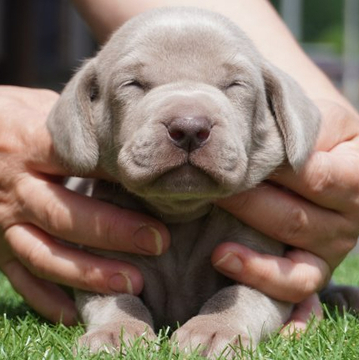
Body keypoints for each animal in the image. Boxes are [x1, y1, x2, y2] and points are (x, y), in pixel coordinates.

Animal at [48, 7, 324, 358]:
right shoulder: (108, 262)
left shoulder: (263, 264)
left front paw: (215, 329)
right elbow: (116, 298)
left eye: (235, 84)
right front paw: (115, 332)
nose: (190, 127)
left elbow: (241, 296)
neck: (182, 213)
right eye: (133, 84)